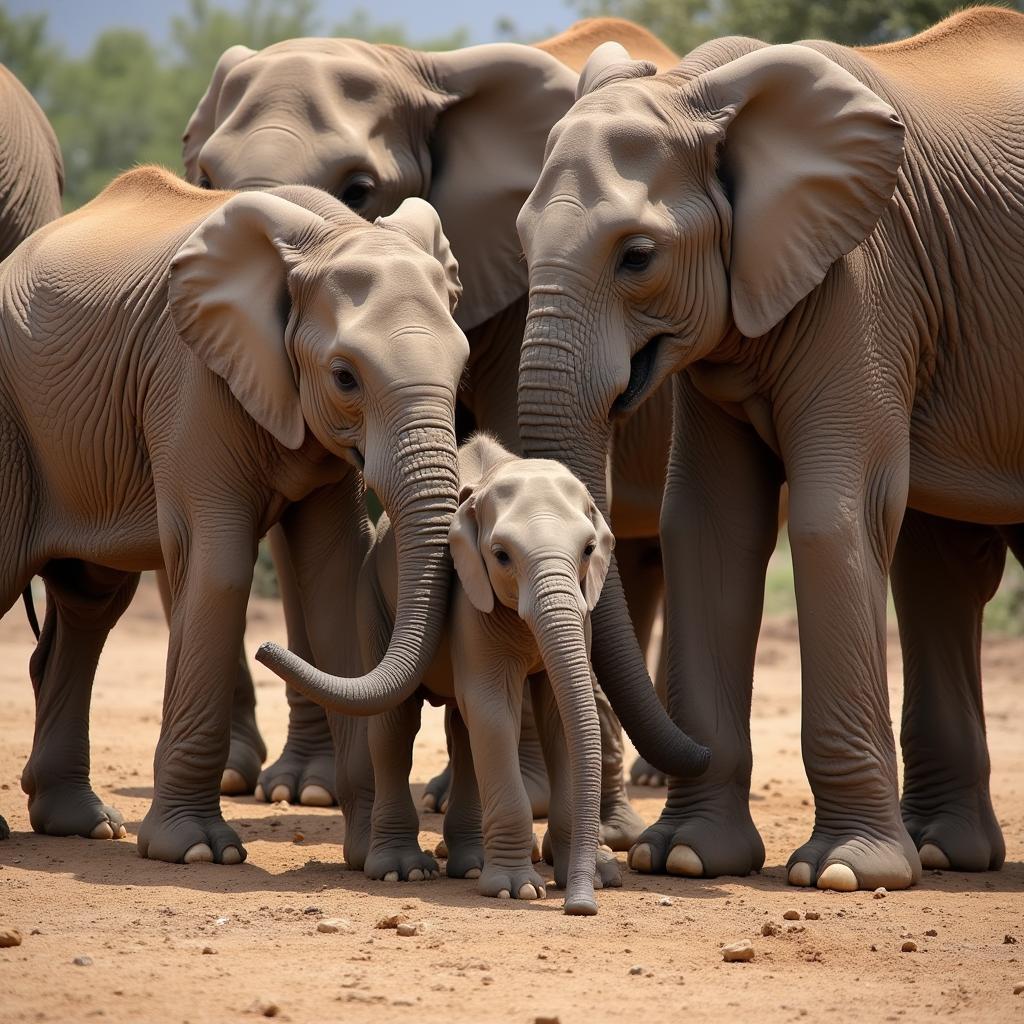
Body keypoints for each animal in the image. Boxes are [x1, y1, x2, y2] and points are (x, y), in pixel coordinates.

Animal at [184, 18, 679, 847]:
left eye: (358, 188)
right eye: (206, 177)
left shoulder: (522, 286)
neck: (424, 68)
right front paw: (304, 791)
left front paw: (532, 800)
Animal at [520, 6, 1024, 888]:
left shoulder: (867, 277)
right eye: (517, 240)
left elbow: (832, 517)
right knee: (940, 566)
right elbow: (708, 528)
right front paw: (683, 856)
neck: (703, 92)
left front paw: (847, 872)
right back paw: (944, 851)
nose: (678, 753)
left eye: (638, 257)